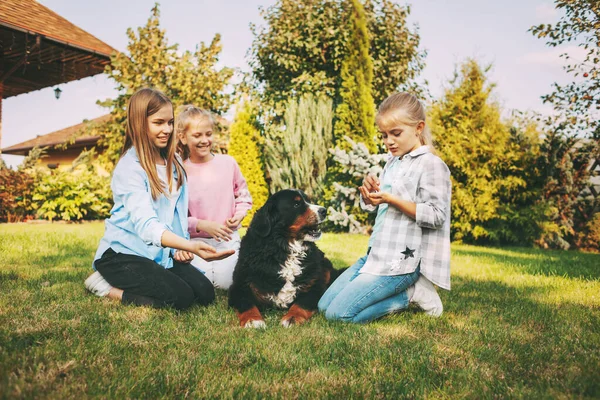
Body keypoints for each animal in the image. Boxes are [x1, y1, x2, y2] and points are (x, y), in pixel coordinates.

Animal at [229, 189, 342, 326]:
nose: (324, 210)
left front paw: (292, 318)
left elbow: (301, 304)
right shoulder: (239, 287)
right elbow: (246, 304)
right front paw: (253, 320)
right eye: (296, 204)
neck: (283, 248)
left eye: (308, 200)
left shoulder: (316, 287)